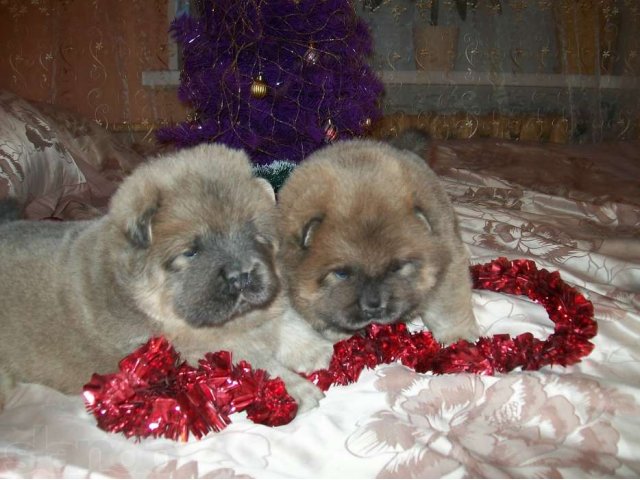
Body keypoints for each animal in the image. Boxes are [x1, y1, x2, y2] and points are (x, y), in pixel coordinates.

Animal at [0, 142, 330, 412]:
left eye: (255, 236)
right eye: (191, 252)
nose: (241, 275)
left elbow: (287, 321)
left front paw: (320, 349)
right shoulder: (201, 351)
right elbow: (259, 365)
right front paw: (296, 389)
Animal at [278, 135, 478, 344]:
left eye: (396, 268)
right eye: (342, 274)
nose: (373, 305)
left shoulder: (447, 265)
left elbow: (447, 309)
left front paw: (459, 339)